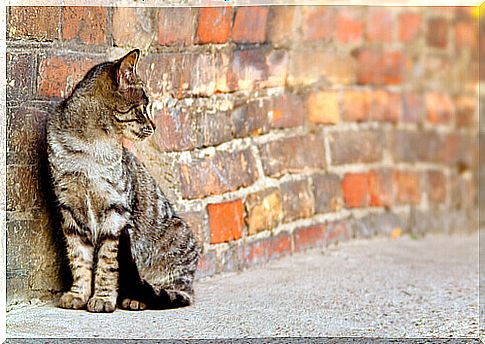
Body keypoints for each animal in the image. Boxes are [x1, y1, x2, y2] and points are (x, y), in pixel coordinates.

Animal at [47, 49, 200, 314]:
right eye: (144, 107)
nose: (154, 126)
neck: (90, 147)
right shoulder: (69, 210)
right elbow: (78, 257)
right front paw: (78, 294)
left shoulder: (116, 211)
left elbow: (108, 263)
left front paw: (103, 298)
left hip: (177, 244)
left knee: (166, 290)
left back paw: (136, 298)